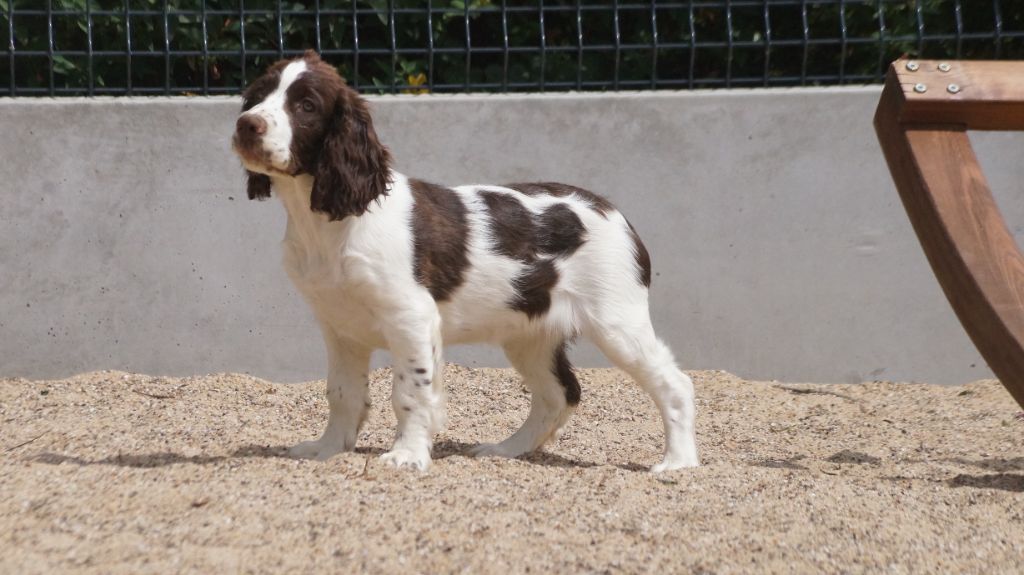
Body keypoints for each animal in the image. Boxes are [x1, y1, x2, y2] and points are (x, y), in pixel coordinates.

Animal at [231, 50, 696, 470]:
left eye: (306, 106)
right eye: (258, 95)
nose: (246, 124)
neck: (330, 219)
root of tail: (614, 213)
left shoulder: (411, 317)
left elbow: (410, 392)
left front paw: (407, 456)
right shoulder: (340, 327)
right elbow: (342, 393)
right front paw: (327, 450)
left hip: (616, 322)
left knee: (675, 384)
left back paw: (678, 463)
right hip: (530, 333)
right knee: (558, 394)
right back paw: (506, 450)